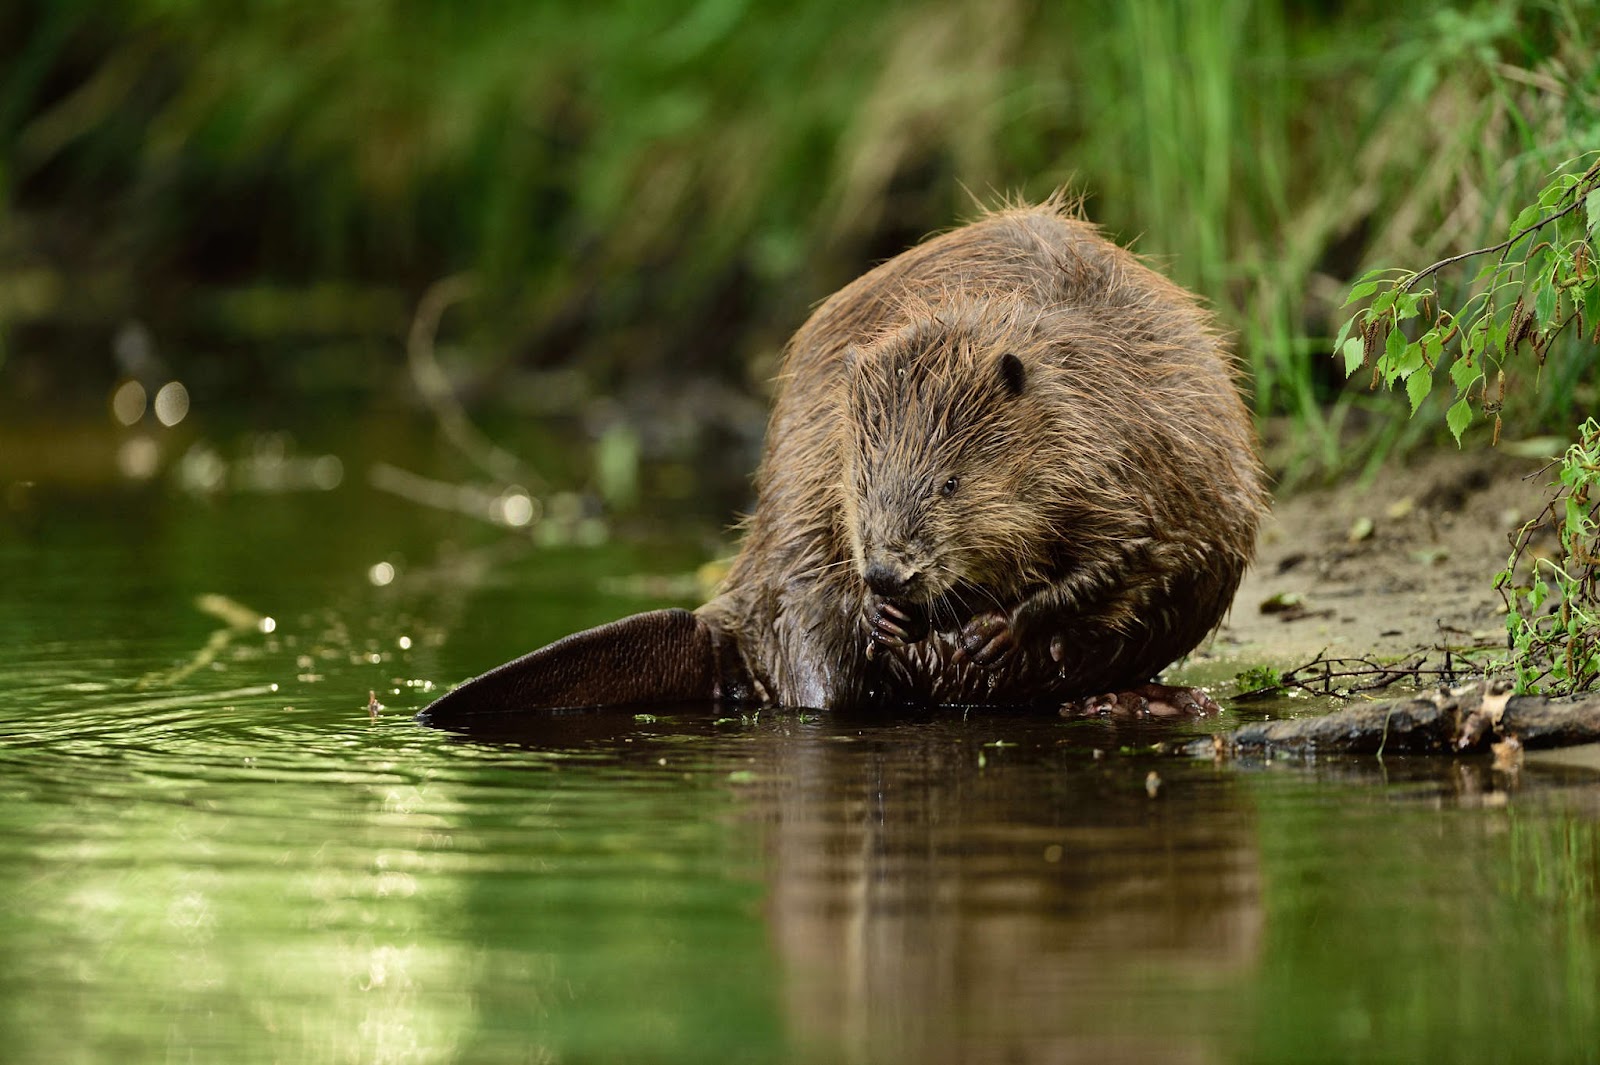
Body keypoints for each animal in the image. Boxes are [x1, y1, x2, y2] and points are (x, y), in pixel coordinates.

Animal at [419, 199, 1267, 722]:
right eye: (864, 482)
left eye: (950, 481)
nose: (888, 573)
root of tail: (718, 622)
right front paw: (890, 616)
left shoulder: (1134, 440)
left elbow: (1136, 551)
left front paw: (1002, 630)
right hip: (783, 572)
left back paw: (1139, 699)